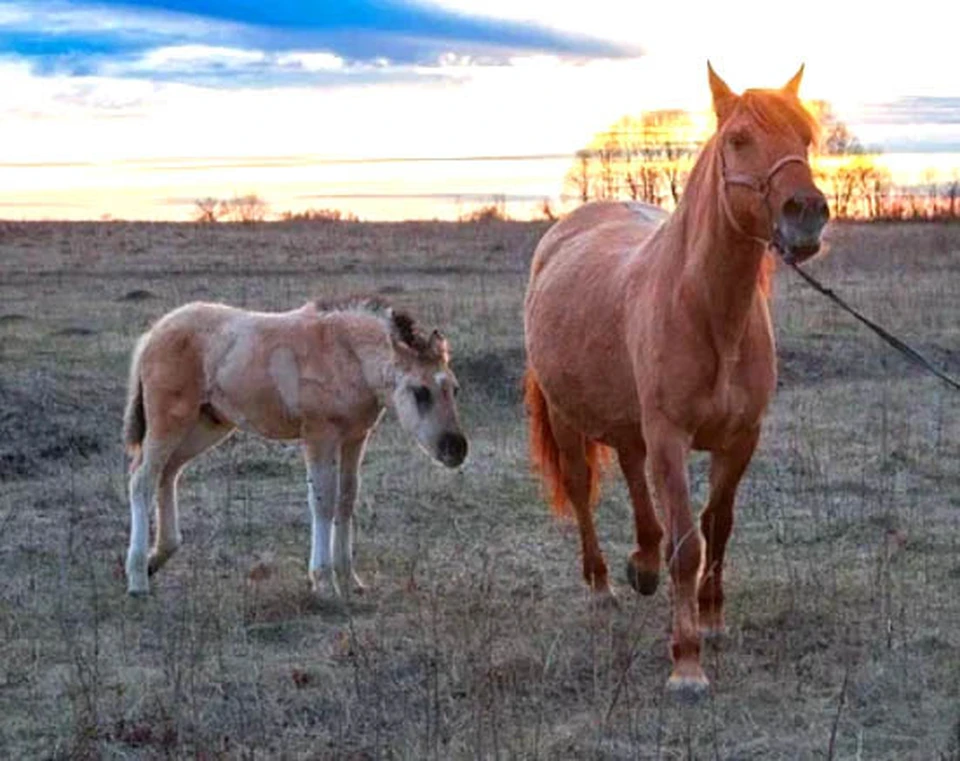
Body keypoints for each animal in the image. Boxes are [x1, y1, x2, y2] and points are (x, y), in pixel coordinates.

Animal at [122, 294, 466, 596]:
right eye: (420, 391)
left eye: (454, 389)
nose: (456, 449)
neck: (346, 356)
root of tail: (155, 332)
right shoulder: (319, 435)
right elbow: (323, 500)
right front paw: (324, 581)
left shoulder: (355, 436)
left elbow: (346, 499)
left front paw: (349, 579)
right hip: (170, 421)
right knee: (142, 479)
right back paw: (137, 578)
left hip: (207, 425)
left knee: (168, 473)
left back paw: (157, 558)